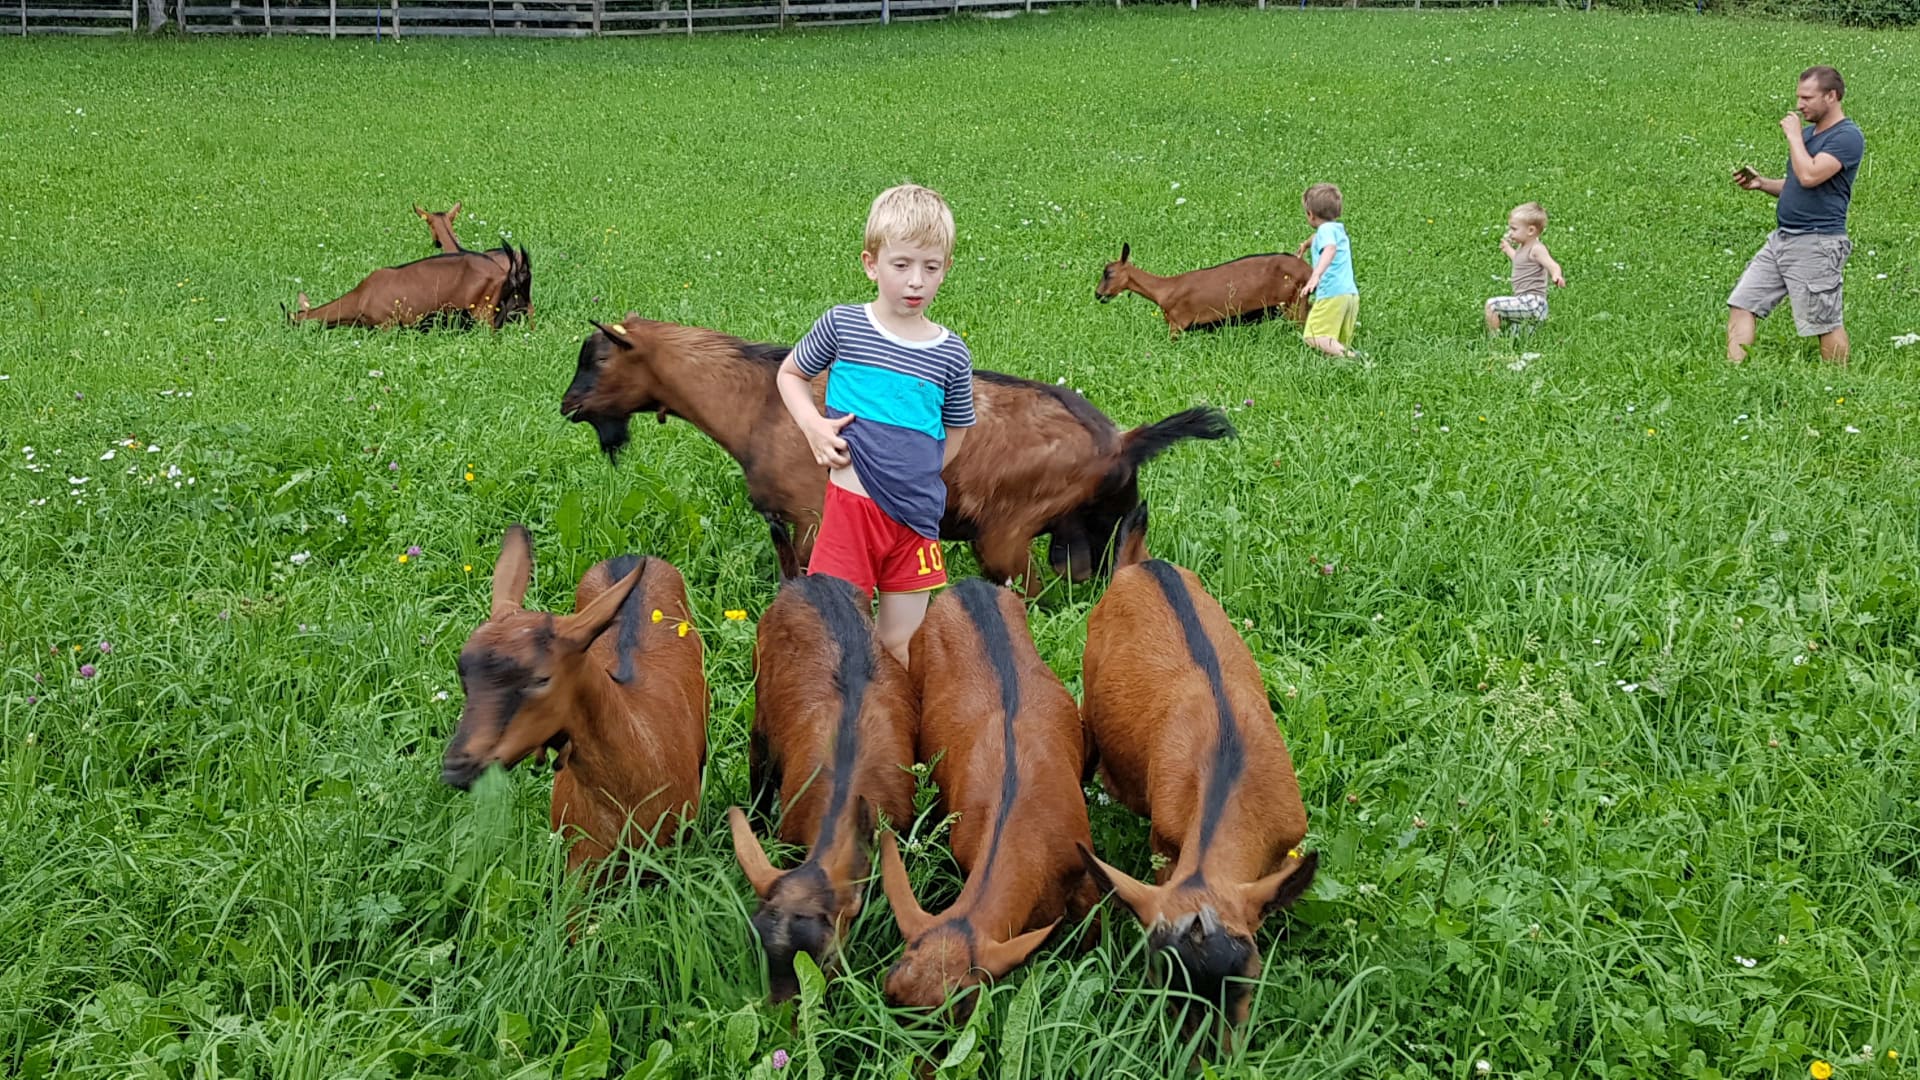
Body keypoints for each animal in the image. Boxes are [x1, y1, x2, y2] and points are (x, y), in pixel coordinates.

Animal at [559, 315, 1234, 593]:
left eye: (598, 359)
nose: (567, 405)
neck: (756, 401)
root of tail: (1121, 440)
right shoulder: (782, 525)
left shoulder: (812, 517)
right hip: (1092, 526)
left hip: (1008, 533)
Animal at [1095, 243, 1313, 340]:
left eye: (1108, 273)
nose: (1097, 294)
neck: (1165, 290)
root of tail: (1308, 270)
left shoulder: (1177, 324)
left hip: (1294, 304)